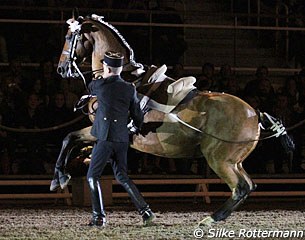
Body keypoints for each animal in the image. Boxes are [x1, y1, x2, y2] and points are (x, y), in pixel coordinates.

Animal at [54, 14, 290, 226]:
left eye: (68, 37)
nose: (61, 68)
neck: (121, 77)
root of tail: (255, 114)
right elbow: (113, 171)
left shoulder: (102, 130)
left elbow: (69, 138)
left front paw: (60, 178)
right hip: (234, 161)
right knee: (248, 186)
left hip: (219, 160)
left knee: (240, 187)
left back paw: (211, 219)